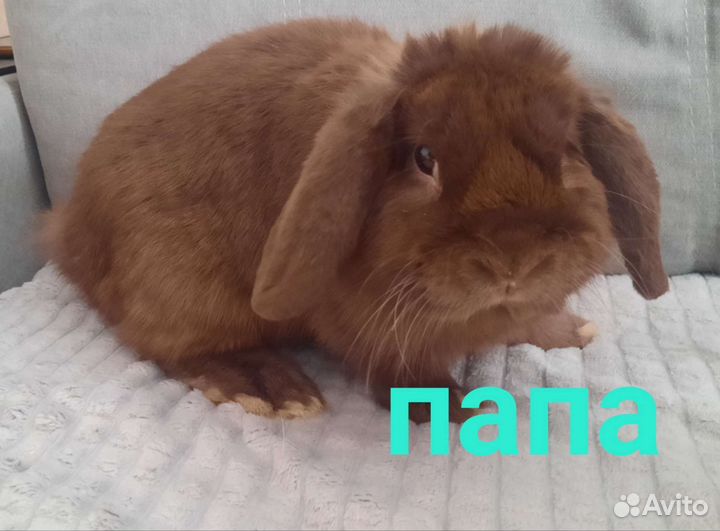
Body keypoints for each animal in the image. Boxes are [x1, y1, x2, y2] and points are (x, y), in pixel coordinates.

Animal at [42, 19, 668, 423]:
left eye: (566, 154)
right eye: (423, 158)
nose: (514, 259)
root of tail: (71, 227)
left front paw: (563, 329)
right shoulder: (367, 326)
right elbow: (398, 368)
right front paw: (457, 409)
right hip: (183, 283)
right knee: (167, 344)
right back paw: (270, 387)